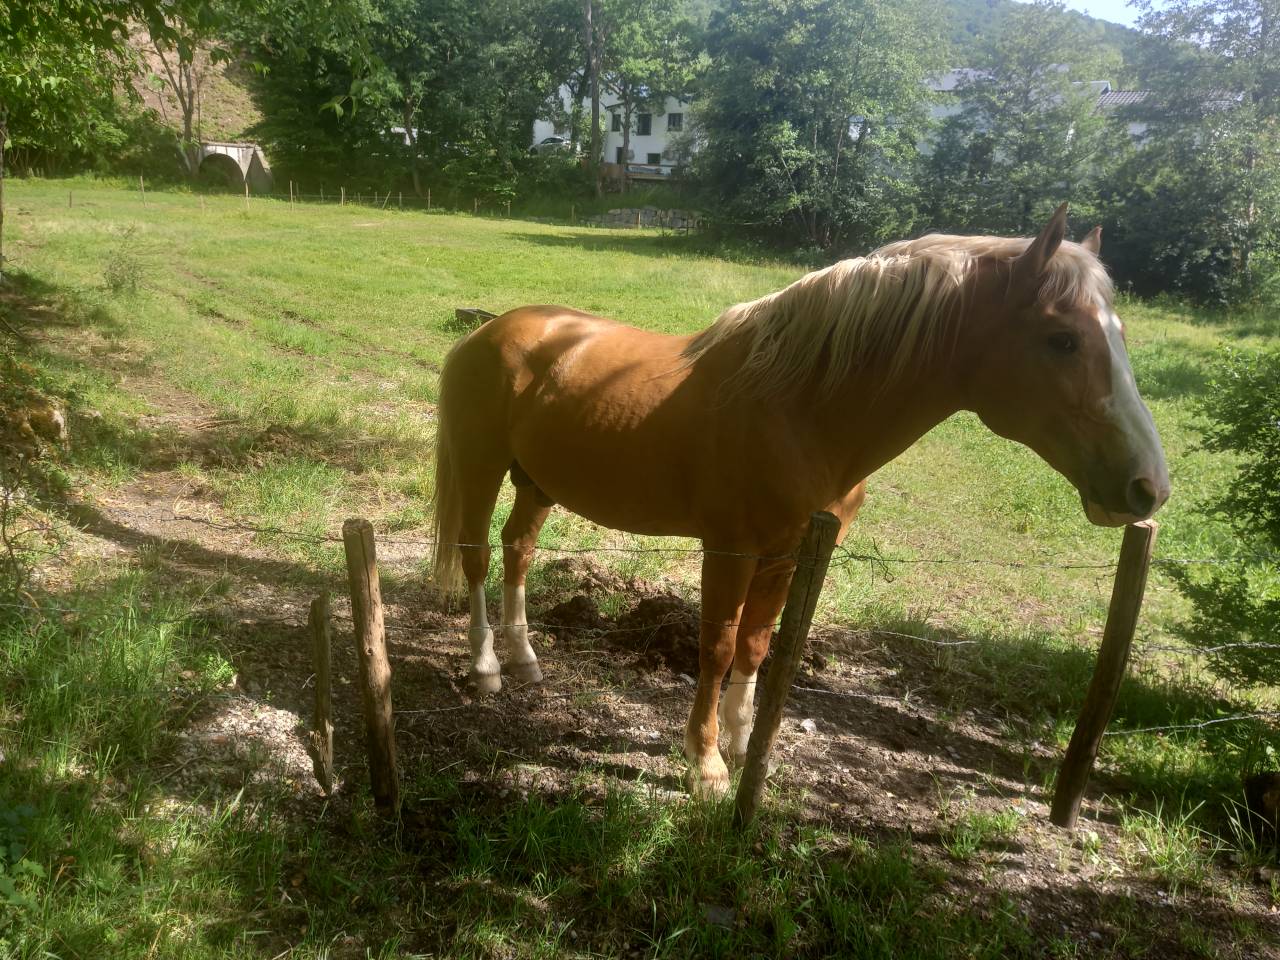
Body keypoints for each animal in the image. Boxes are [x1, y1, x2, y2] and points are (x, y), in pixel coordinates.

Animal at [428, 205, 1170, 797]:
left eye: (1120, 335)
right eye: (1063, 338)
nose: (1149, 486)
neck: (800, 405)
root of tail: (490, 331)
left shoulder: (789, 552)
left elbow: (758, 646)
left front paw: (740, 742)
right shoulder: (730, 548)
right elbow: (718, 646)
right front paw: (705, 765)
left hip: (538, 482)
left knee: (518, 552)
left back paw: (527, 662)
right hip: (482, 468)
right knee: (475, 558)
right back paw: (488, 668)